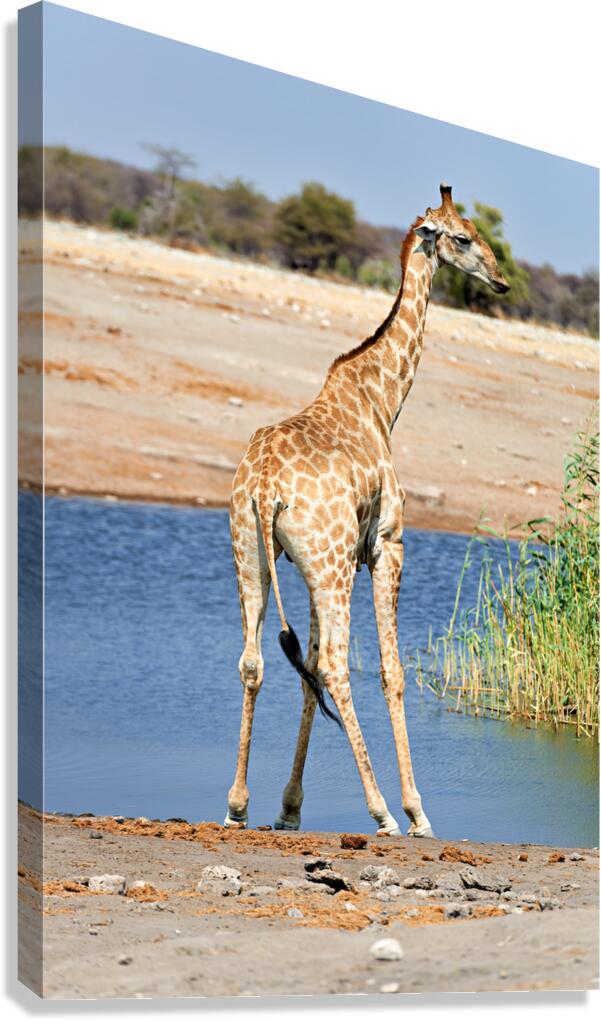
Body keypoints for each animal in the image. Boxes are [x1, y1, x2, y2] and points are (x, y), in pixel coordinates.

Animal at [225, 184, 510, 837]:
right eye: (463, 237)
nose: (502, 280)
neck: (383, 400)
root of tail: (264, 485)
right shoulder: (385, 544)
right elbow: (391, 670)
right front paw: (417, 809)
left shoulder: (313, 564)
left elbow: (303, 669)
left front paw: (289, 807)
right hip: (328, 567)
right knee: (335, 665)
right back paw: (382, 811)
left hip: (254, 554)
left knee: (258, 660)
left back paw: (236, 805)